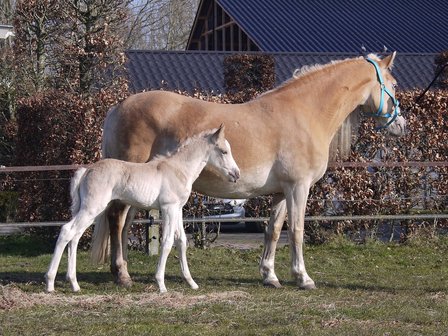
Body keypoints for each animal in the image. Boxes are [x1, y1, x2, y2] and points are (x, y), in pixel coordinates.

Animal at [46, 126, 240, 294]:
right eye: (224, 151)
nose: (236, 174)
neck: (178, 169)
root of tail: (87, 170)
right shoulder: (168, 208)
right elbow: (167, 242)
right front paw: (161, 284)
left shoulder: (177, 209)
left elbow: (181, 241)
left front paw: (191, 282)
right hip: (92, 208)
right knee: (67, 231)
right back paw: (50, 283)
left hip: (89, 210)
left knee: (75, 236)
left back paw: (74, 284)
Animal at [92, 52, 406, 288]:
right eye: (393, 84)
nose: (401, 125)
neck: (304, 113)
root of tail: (118, 107)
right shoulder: (299, 187)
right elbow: (297, 231)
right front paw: (303, 278)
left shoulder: (282, 191)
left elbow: (274, 230)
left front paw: (270, 276)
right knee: (117, 220)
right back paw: (122, 275)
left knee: (123, 225)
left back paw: (121, 271)